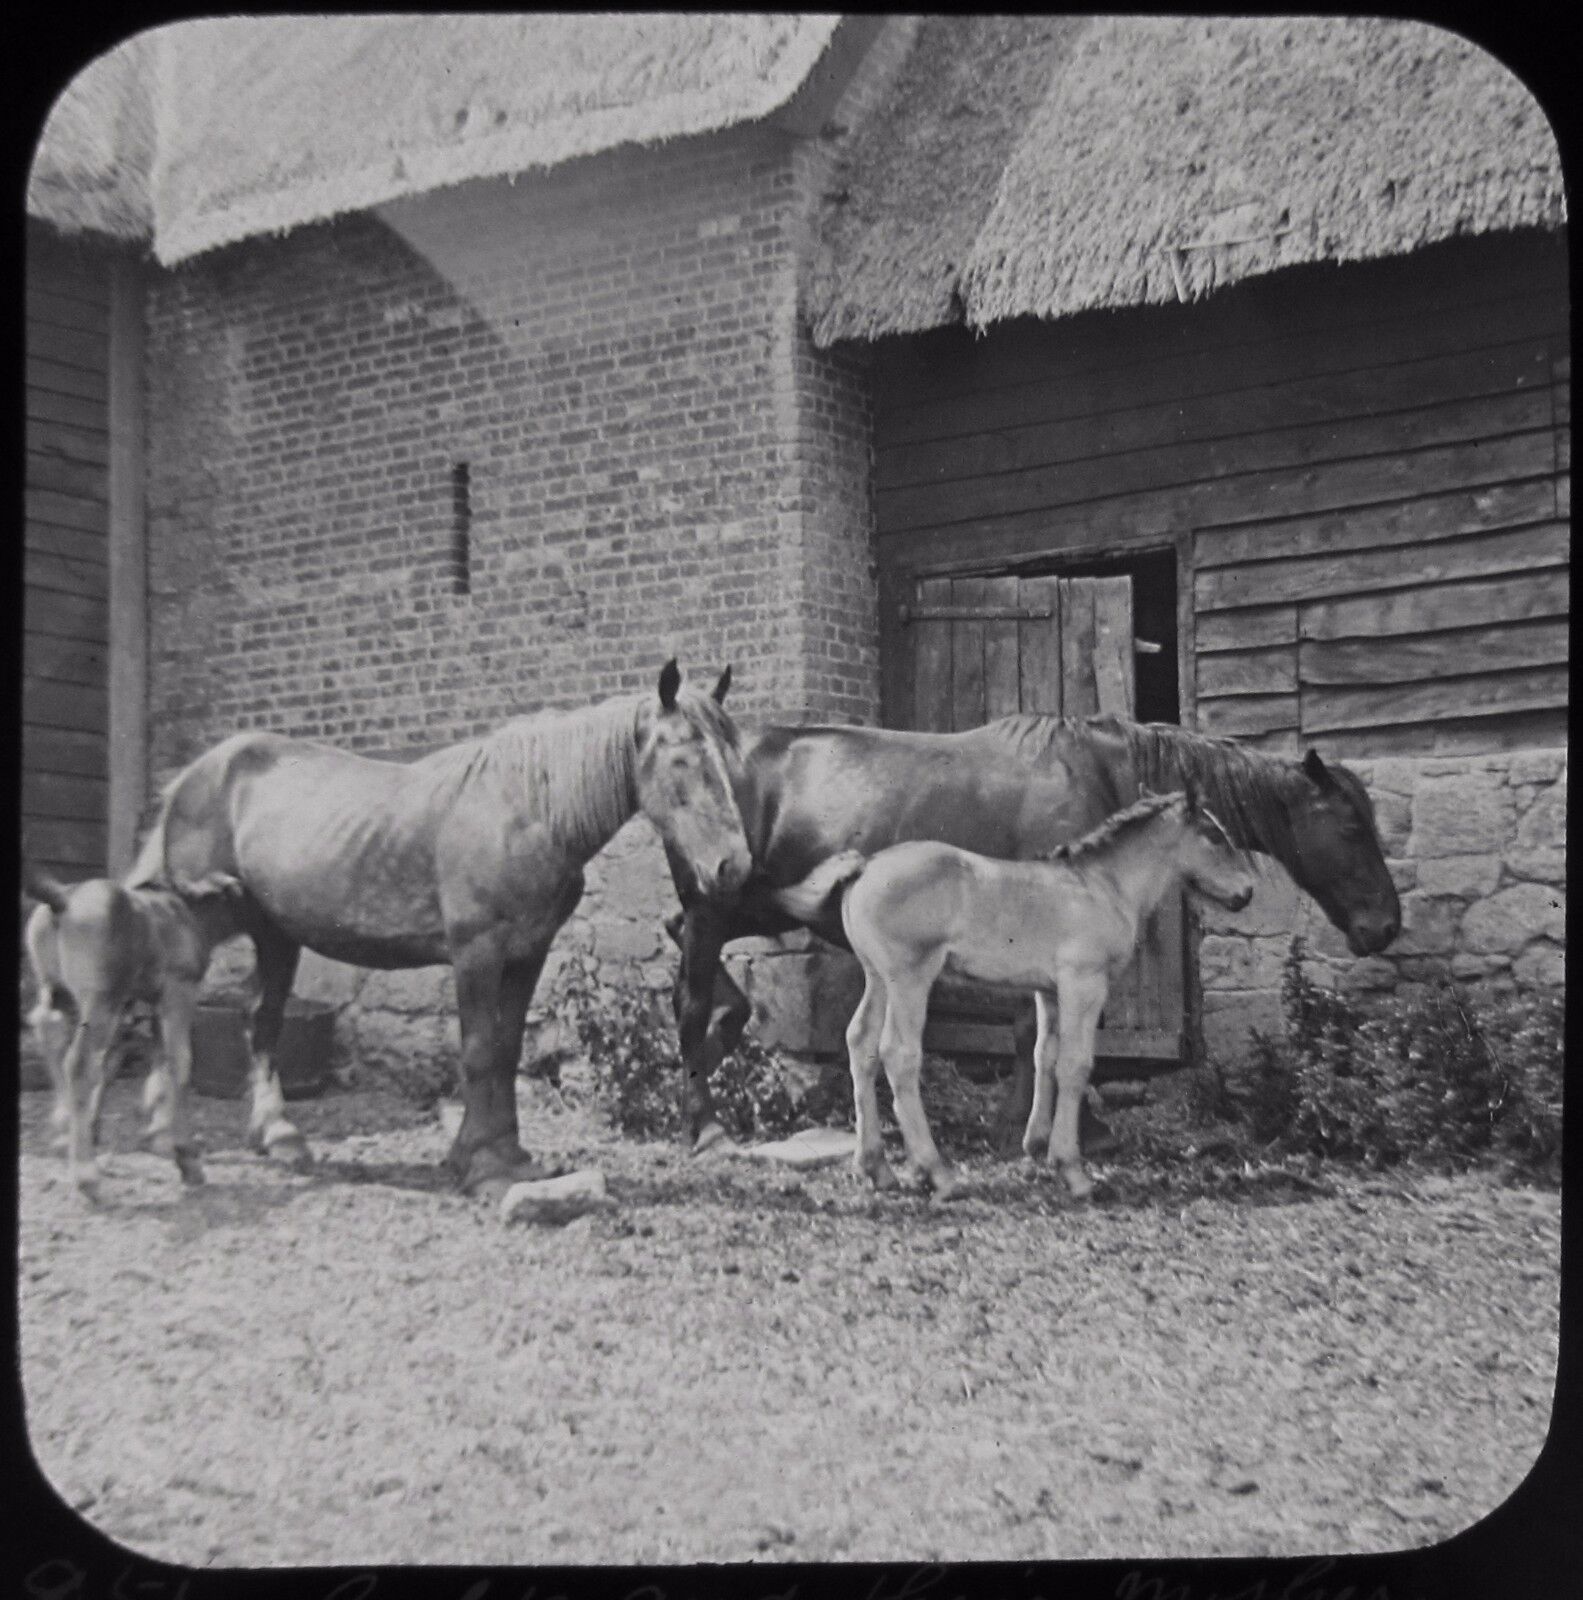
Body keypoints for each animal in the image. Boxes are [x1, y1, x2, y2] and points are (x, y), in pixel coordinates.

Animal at [24, 866, 243, 1198]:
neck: (185, 910)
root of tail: (63, 898)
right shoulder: (178, 993)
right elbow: (179, 1061)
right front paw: (184, 1155)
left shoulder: (141, 1002)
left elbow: (127, 1062)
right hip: (98, 1001)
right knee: (78, 1064)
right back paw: (86, 1174)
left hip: (56, 991)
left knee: (48, 1031)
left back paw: (64, 1126)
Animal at [131, 660, 753, 1197]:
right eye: (682, 760)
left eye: (731, 759)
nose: (734, 866)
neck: (532, 807)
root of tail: (192, 778)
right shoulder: (476, 951)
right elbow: (477, 1051)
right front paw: (480, 1165)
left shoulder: (527, 953)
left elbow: (505, 1049)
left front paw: (508, 1155)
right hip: (203, 923)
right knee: (173, 1009)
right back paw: (169, 1138)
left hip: (276, 935)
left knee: (262, 1021)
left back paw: (276, 1137)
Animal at [663, 713, 1400, 1154]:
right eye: (1350, 826)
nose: (1385, 927)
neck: (1098, 772)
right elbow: (1038, 1036)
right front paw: (1044, 1128)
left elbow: (1039, 1035)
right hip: (717, 904)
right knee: (689, 995)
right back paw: (702, 1117)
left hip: (756, 905)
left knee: (682, 947)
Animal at [771, 784, 1255, 1201]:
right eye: (1215, 835)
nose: (1247, 892)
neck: (1103, 886)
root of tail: (866, 865)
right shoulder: (1084, 984)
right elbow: (1076, 1066)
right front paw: (1073, 1171)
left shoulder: (1050, 992)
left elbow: (1045, 1057)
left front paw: (1037, 1148)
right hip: (911, 977)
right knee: (898, 1054)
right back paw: (938, 1172)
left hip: (877, 976)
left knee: (861, 1044)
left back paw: (877, 1168)